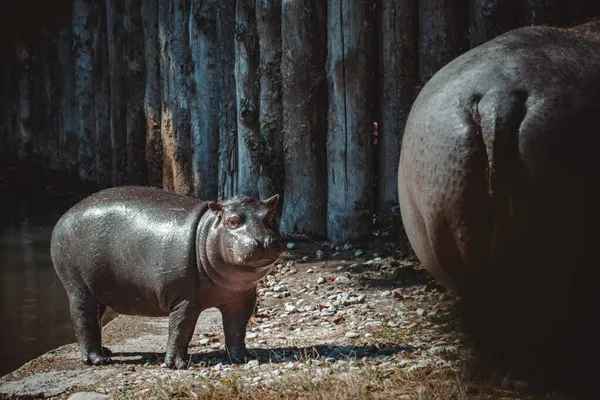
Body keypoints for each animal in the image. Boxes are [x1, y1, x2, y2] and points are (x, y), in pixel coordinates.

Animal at [50, 187, 282, 368]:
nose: (263, 241)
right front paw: (176, 365)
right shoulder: (185, 300)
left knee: (95, 318)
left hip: (97, 290)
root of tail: (65, 215)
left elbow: (237, 329)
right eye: (232, 221)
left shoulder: (242, 298)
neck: (207, 232)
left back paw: (106, 351)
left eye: (271, 217)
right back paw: (97, 360)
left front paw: (243, 358)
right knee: (83, 318)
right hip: (78, 288)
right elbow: (181, 330)